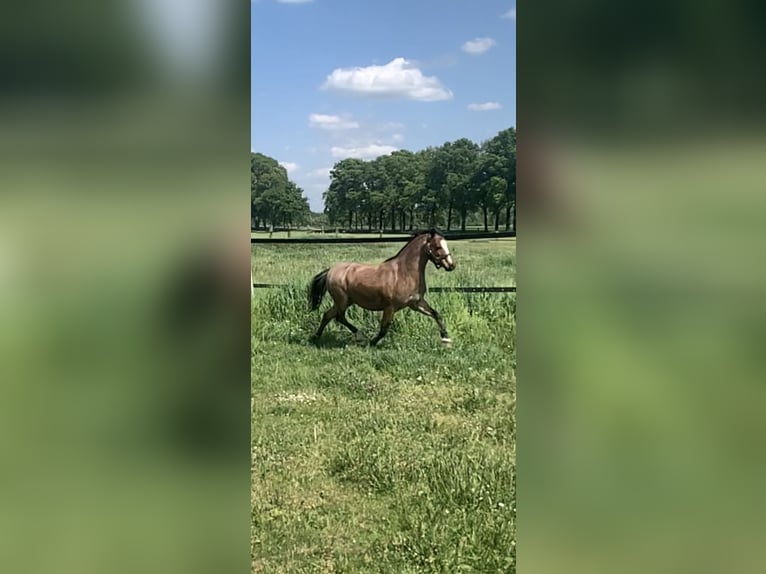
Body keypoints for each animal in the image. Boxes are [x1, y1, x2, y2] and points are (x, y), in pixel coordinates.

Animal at [308, 228, 460, 346]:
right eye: (438, 247)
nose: (451, 265)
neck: (405, 272)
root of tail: (331, 270)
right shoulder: (390, 307)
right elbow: (383, 329)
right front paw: (372, 342)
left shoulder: (416, 303)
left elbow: (436, 314)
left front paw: (446, 338)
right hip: (342, 300)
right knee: (339, 317)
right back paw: (360, 336)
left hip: (346, 301)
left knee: (327, 315)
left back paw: (315, 337)